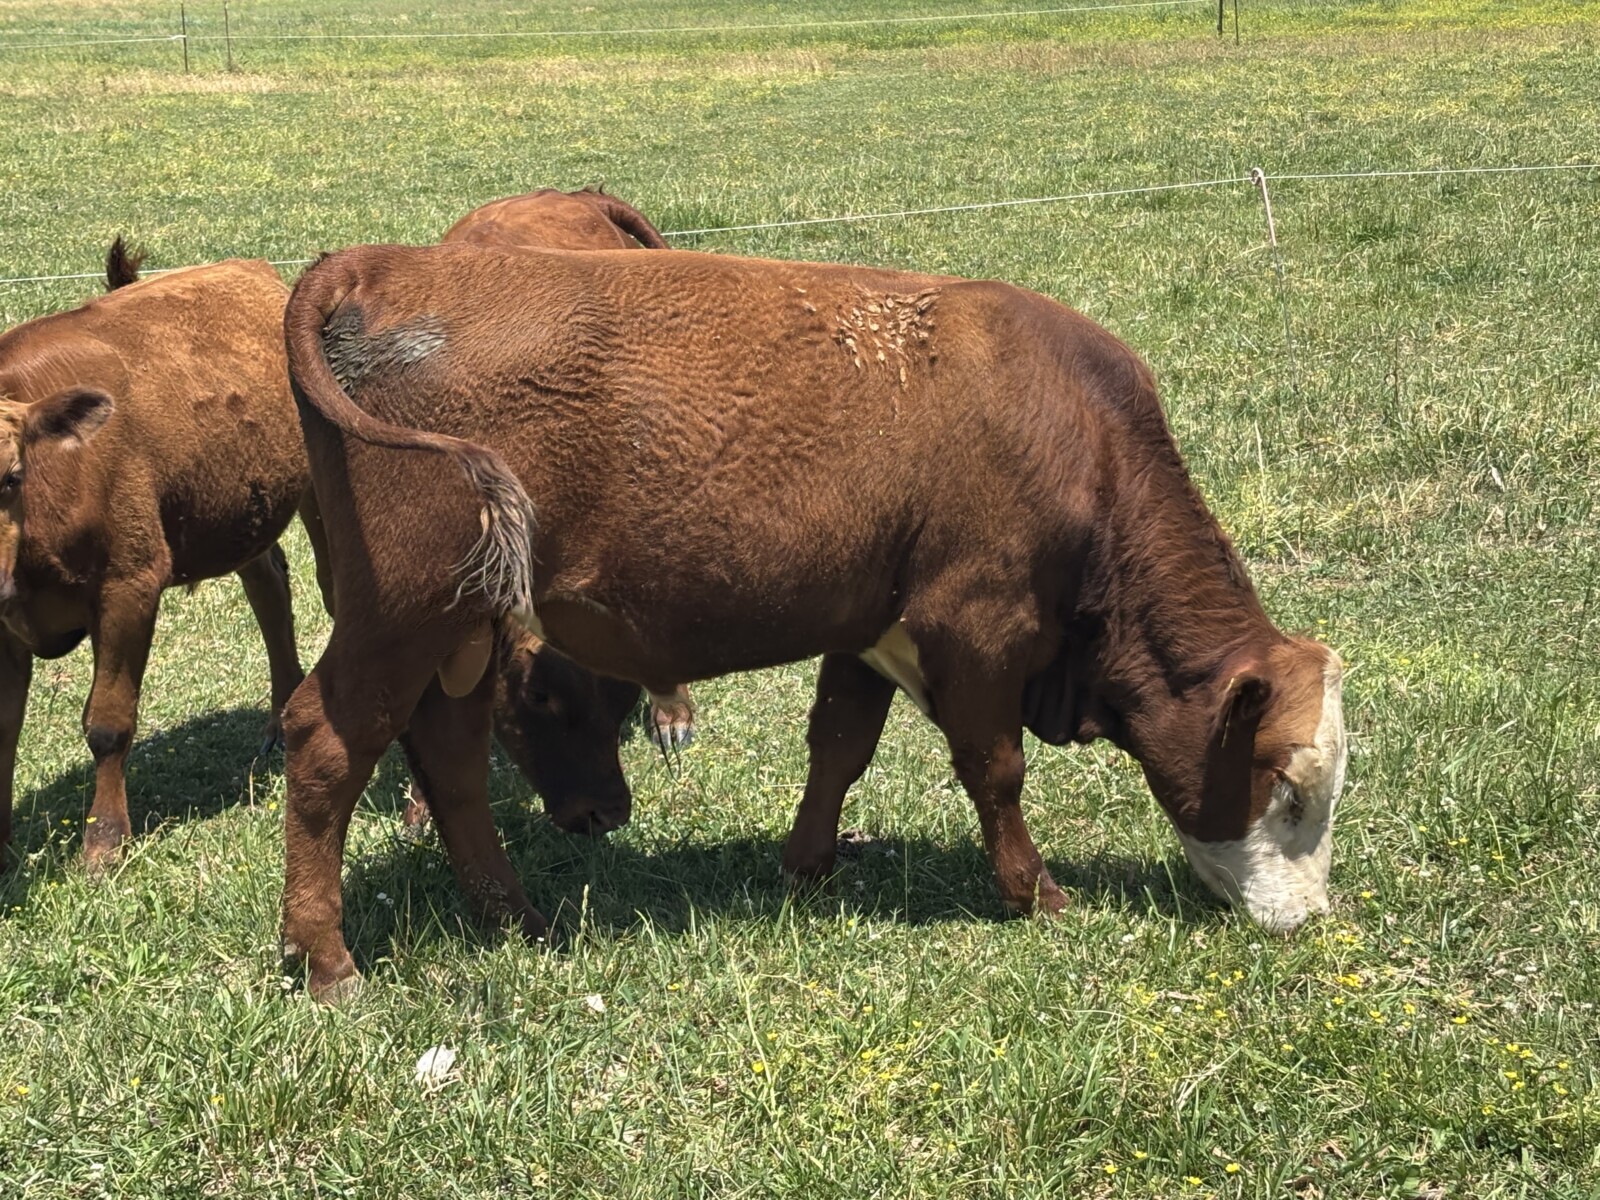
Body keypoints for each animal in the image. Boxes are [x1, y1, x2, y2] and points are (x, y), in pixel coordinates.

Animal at [0, 242, 320, 873]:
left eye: (11, 476)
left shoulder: (130, 581)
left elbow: (108, 722)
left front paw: (104, 842)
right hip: (240, 505)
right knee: (269, 588)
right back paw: (278, 721)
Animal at [279, 242, 1348, 1002]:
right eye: (1289, 790)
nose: (1306, 920)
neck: (1077, 437)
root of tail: (381, 263)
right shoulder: (978, 624)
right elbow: (995, 769)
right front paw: (1035, 893)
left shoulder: (867, 626)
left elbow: (838, 746)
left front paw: (807, 869)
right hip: (406, 616)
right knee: (325, 741)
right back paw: (329, 963)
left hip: (458, 631)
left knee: (450, 759)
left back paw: (515, 919)